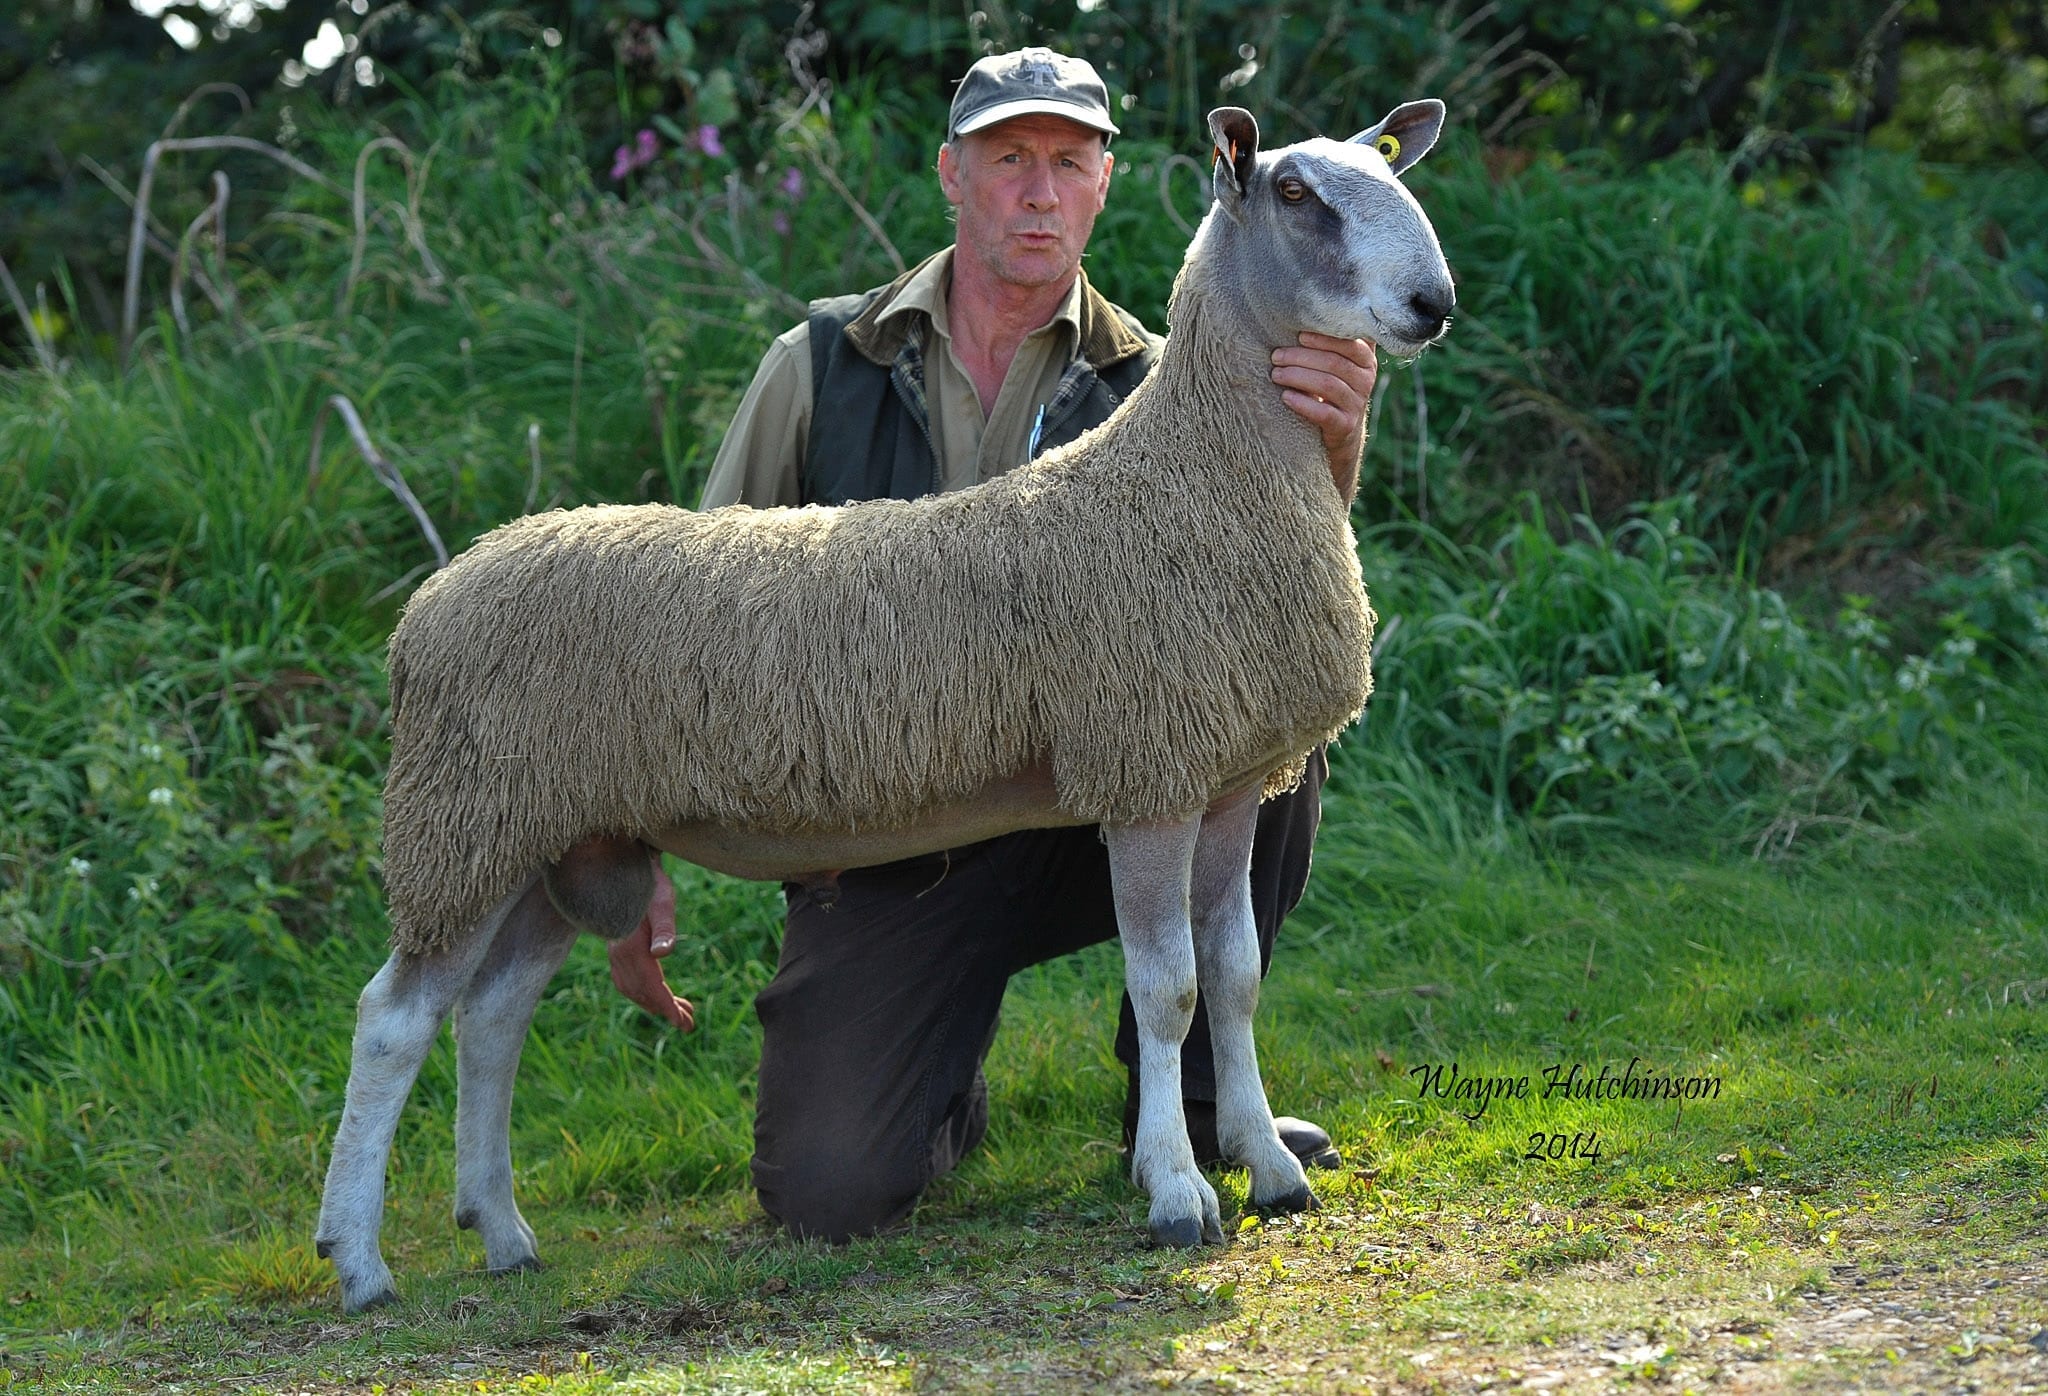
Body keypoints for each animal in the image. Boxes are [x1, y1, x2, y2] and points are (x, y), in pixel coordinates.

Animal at [315, 100, 1458, 1301]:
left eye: (1386, 172)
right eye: (1293, 193)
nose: (1432, 305)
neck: (1196, 475)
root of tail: (431, 601)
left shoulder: (1233, 776)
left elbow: (1232, 979)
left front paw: (1266, 1168)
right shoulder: (1145, 769)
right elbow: (1168, 991)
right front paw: (1178, 1193)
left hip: (561, 834)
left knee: (491, 1016)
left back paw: (500, 1230)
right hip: (466, 819)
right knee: (393, 1020)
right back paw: (358, 1258)